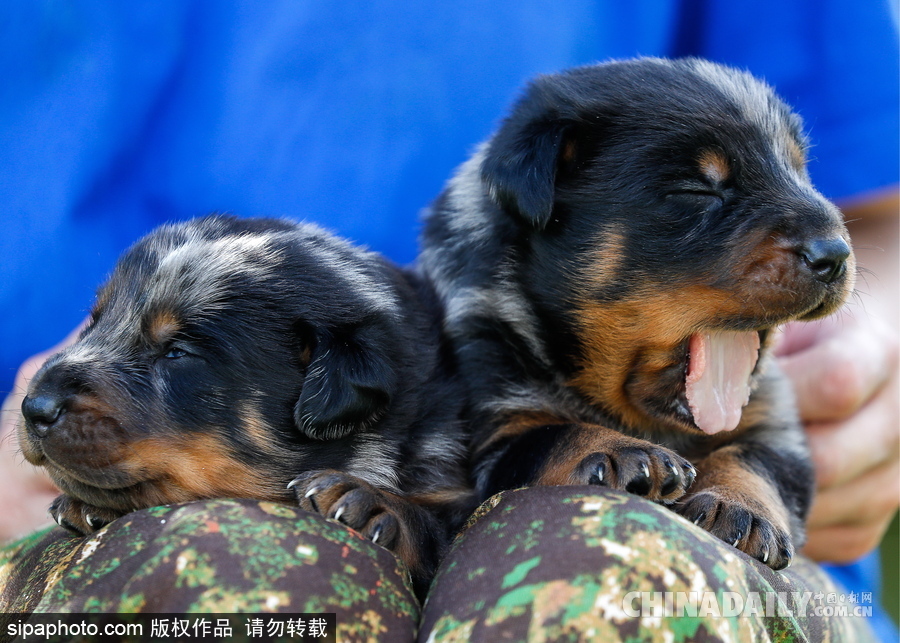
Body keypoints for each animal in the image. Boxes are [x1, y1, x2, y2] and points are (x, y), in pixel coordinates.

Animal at [418, 57, 856, 572]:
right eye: (697, 190)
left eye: (800, 173)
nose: (834, 253)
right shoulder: (497, 410)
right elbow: (550, 434)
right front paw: (620, 452)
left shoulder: (774, 420)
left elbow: (756, 460)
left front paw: (738, 504)